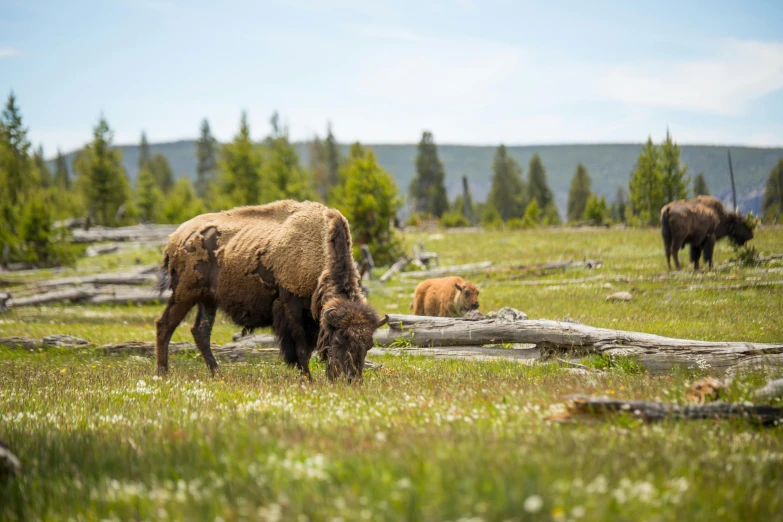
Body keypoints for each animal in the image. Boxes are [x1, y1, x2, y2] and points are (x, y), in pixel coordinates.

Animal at [155, 201, 388, 380]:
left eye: (368, 345)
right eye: (339, 339)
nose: (351, 379)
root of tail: (176, 238)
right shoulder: (291, 309)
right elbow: (301, 349)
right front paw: (308, 379)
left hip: (208, 300)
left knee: (200, 332)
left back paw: (217, 373)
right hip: (184, 294)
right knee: (165, 325)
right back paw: (163, 372)